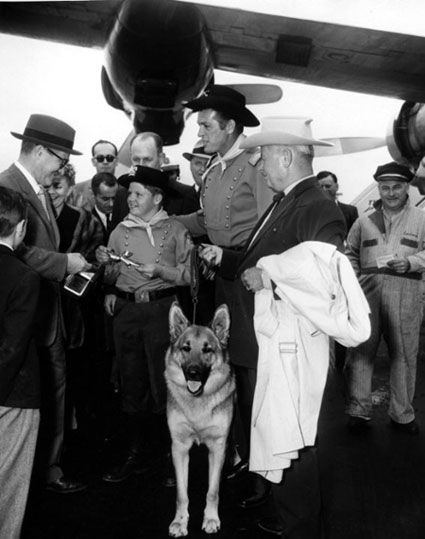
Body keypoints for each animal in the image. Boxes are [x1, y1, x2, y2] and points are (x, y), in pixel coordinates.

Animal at [164, 302, 234, 536]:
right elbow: (181, 494)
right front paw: (180, 521)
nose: (193, 373)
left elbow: (212, 491)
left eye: (207, 349)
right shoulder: (179, 447)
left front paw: (211, 518)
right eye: (186, 348)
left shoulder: (218, 447)